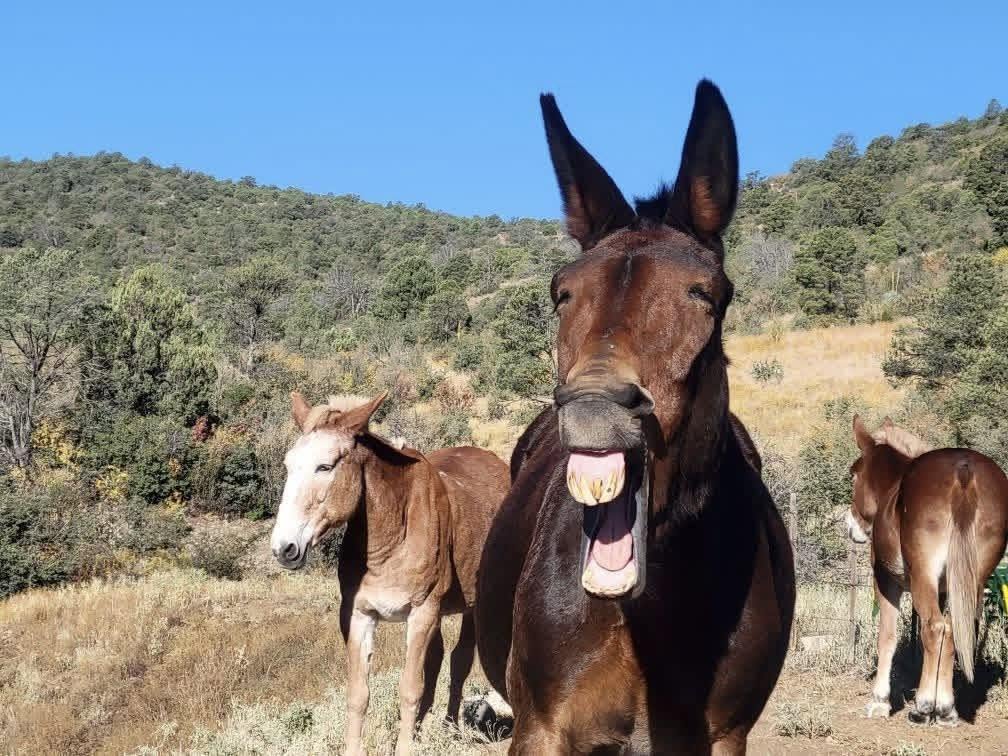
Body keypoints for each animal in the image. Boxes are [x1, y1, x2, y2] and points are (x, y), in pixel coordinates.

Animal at [270, 392, 509, 755]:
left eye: (325, 466)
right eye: (288, 465)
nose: (284, 548)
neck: (392, 533)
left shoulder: (422, 612)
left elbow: (409, 688)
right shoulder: (359, 614)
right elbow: (358, 694)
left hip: (471, 607)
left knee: (459, 662)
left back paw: (450, 728)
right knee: (437, 660)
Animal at [847, 415, 1008, 725]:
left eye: (853, 476)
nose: (850, 526)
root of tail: (963, 471)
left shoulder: (885, 581)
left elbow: (887, 636)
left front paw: (880, 701)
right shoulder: (945, 589)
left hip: (923, 575)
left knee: (935, 627)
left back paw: (925, 707)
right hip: (971, 580)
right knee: (954, 628)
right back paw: (945, 708)